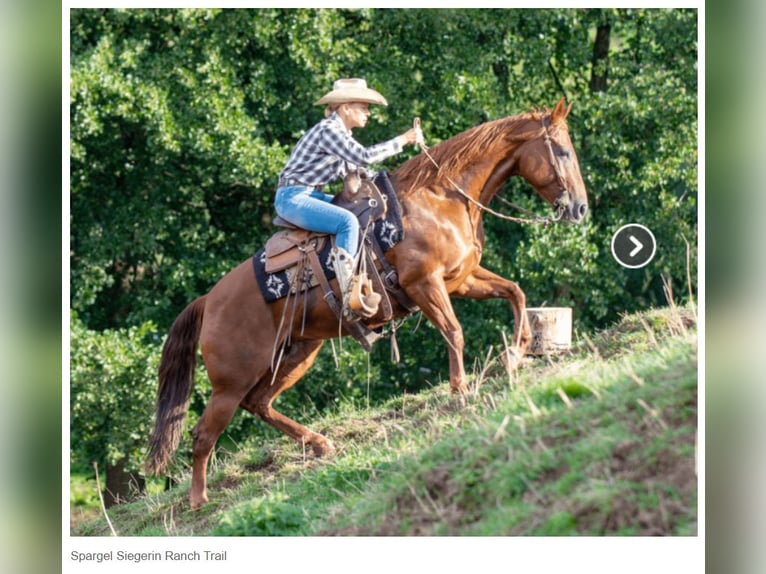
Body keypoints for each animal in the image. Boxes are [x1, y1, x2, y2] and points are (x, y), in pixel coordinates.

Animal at [147, 97, 592, 510]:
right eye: (563, 151)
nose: (581, 207)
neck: (440, 198)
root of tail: (209, 300)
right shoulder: (425, 284)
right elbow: (454, 330)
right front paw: (461, 388)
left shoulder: (460, 279)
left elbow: (515, 292)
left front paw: (515, 353)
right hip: (232, 379)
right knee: (205, 432)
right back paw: (199, 500)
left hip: (298, 352)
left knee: (259, 403)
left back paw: (319, 443)